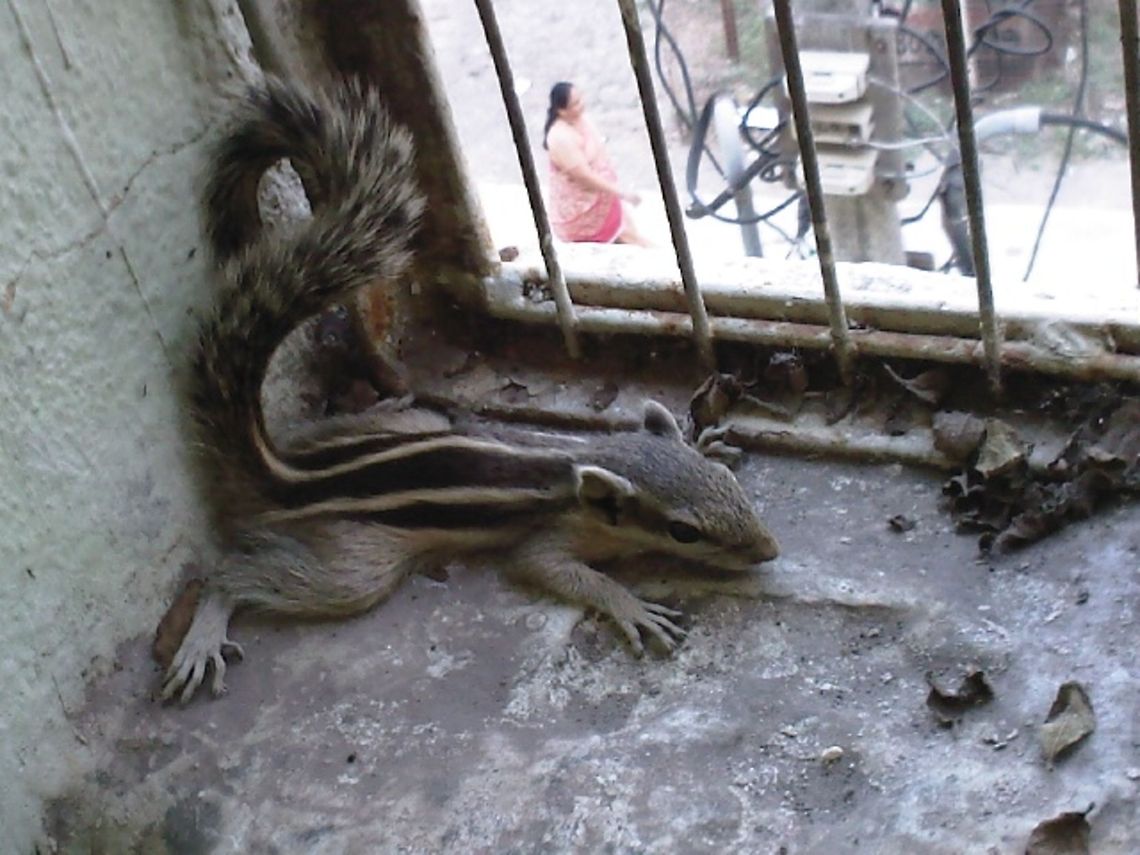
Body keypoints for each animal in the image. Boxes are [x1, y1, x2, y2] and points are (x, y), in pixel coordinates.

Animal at [162, 78, 779, 703]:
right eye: (684, 532)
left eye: (726, 482)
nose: (769, 551)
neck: (583, 465)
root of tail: (289, 472)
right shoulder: (548, 538)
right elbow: (549, 569)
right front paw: (630, 606)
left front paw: (705, 440)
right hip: (351, 562)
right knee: (237, 577)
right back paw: (204, 631)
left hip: (408, 428)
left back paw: (386, 403)